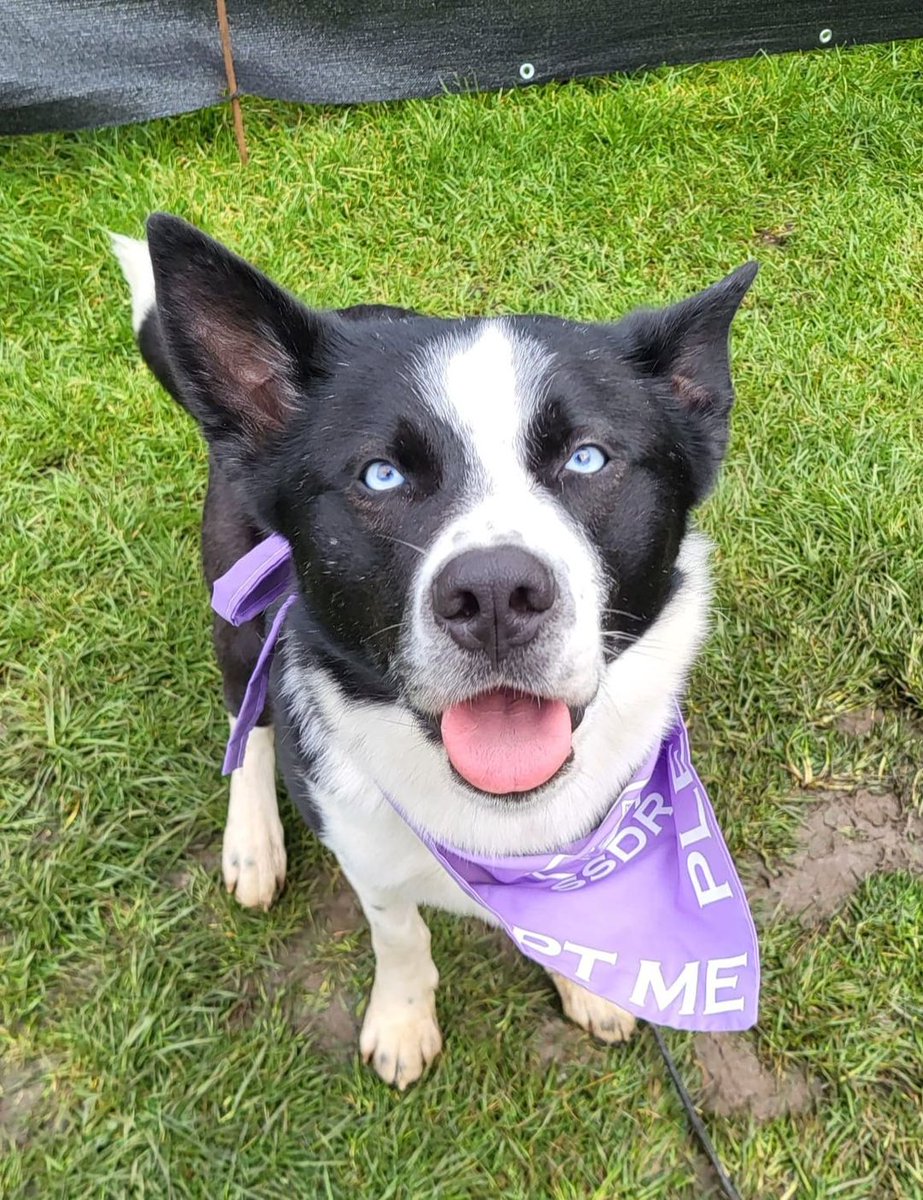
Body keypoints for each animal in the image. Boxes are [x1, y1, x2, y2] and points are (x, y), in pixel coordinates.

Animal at [113, 216, 758, 1089]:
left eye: (586, 457)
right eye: (381, 475)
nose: (493, 596)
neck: (503, 829)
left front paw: (590, 984)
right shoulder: (363, 850)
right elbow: (398, 931)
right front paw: (401, 1019)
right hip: (236, 609)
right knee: (247, 725)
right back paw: (252, 843)